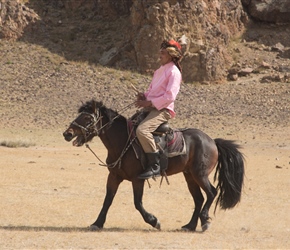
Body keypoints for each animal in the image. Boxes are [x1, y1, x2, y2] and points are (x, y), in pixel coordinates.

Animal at [62, 100, 245, 232]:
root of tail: (212, 141)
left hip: (200, 174)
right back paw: (190, 226)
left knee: (211, 193)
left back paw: (204, 221)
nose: (67, 134)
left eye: (87, 118)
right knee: (199, 198)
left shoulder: (138, 179)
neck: (123, 141)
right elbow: (107, 200)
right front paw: (97, 223)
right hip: (189, 176)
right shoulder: (114, 176)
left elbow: (137, 203)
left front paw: (154, 221)